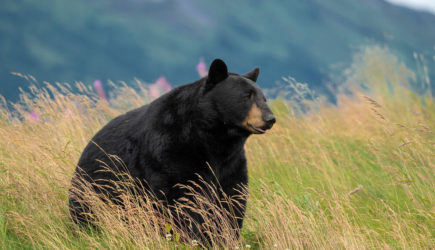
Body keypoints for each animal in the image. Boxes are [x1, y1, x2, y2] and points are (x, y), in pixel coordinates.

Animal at [70, 59, 278, 240]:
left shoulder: (231, 163)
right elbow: (179, 199)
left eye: (264, 98)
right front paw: (186, 236)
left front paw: (224, 237)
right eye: (246, 96)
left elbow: (230, 201)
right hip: (95, 188)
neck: (214, 138)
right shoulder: (171, 151)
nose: (270, 118)